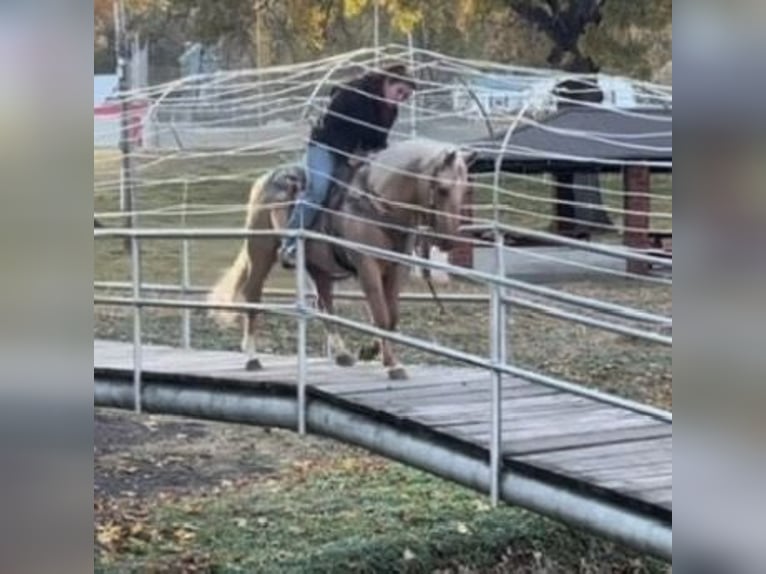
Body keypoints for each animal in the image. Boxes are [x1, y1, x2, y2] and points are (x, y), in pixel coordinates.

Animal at [207, 138, 475, 380]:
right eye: (442, 189)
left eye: (464, 190)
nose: (449, 240)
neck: (375, 203)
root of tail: (268, 178)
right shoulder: (367, 266)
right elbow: (380, 314)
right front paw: (393, 365)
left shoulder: (398, 268)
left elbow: (391, 316)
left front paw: (371, 351)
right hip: (260, 250)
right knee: (253, 295)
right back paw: (252, 357)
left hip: (319, 267)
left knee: (324, 302)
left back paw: (342, 353)